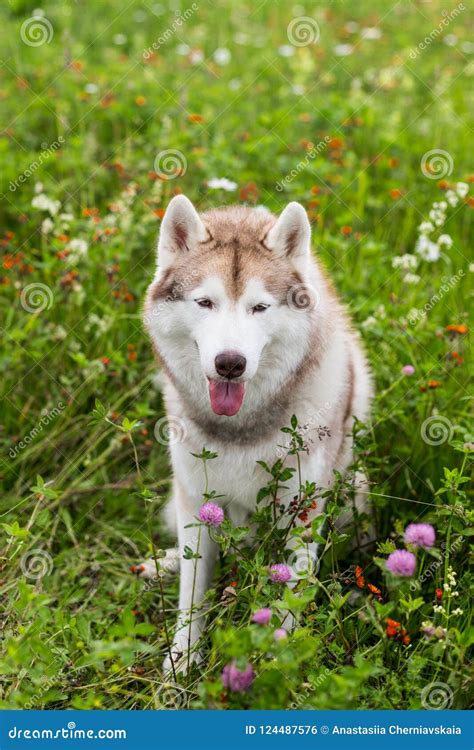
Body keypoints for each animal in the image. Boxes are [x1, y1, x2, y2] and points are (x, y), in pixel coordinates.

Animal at [143, 195, 372, 676]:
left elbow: (288, 598)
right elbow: (192, 593)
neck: (241, 430)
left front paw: (277, 659)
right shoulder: (196, 503)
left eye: (259, 308)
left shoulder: (303, 513)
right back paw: (163, 564)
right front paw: (181, 662)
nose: (230, 363)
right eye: (205, 302)